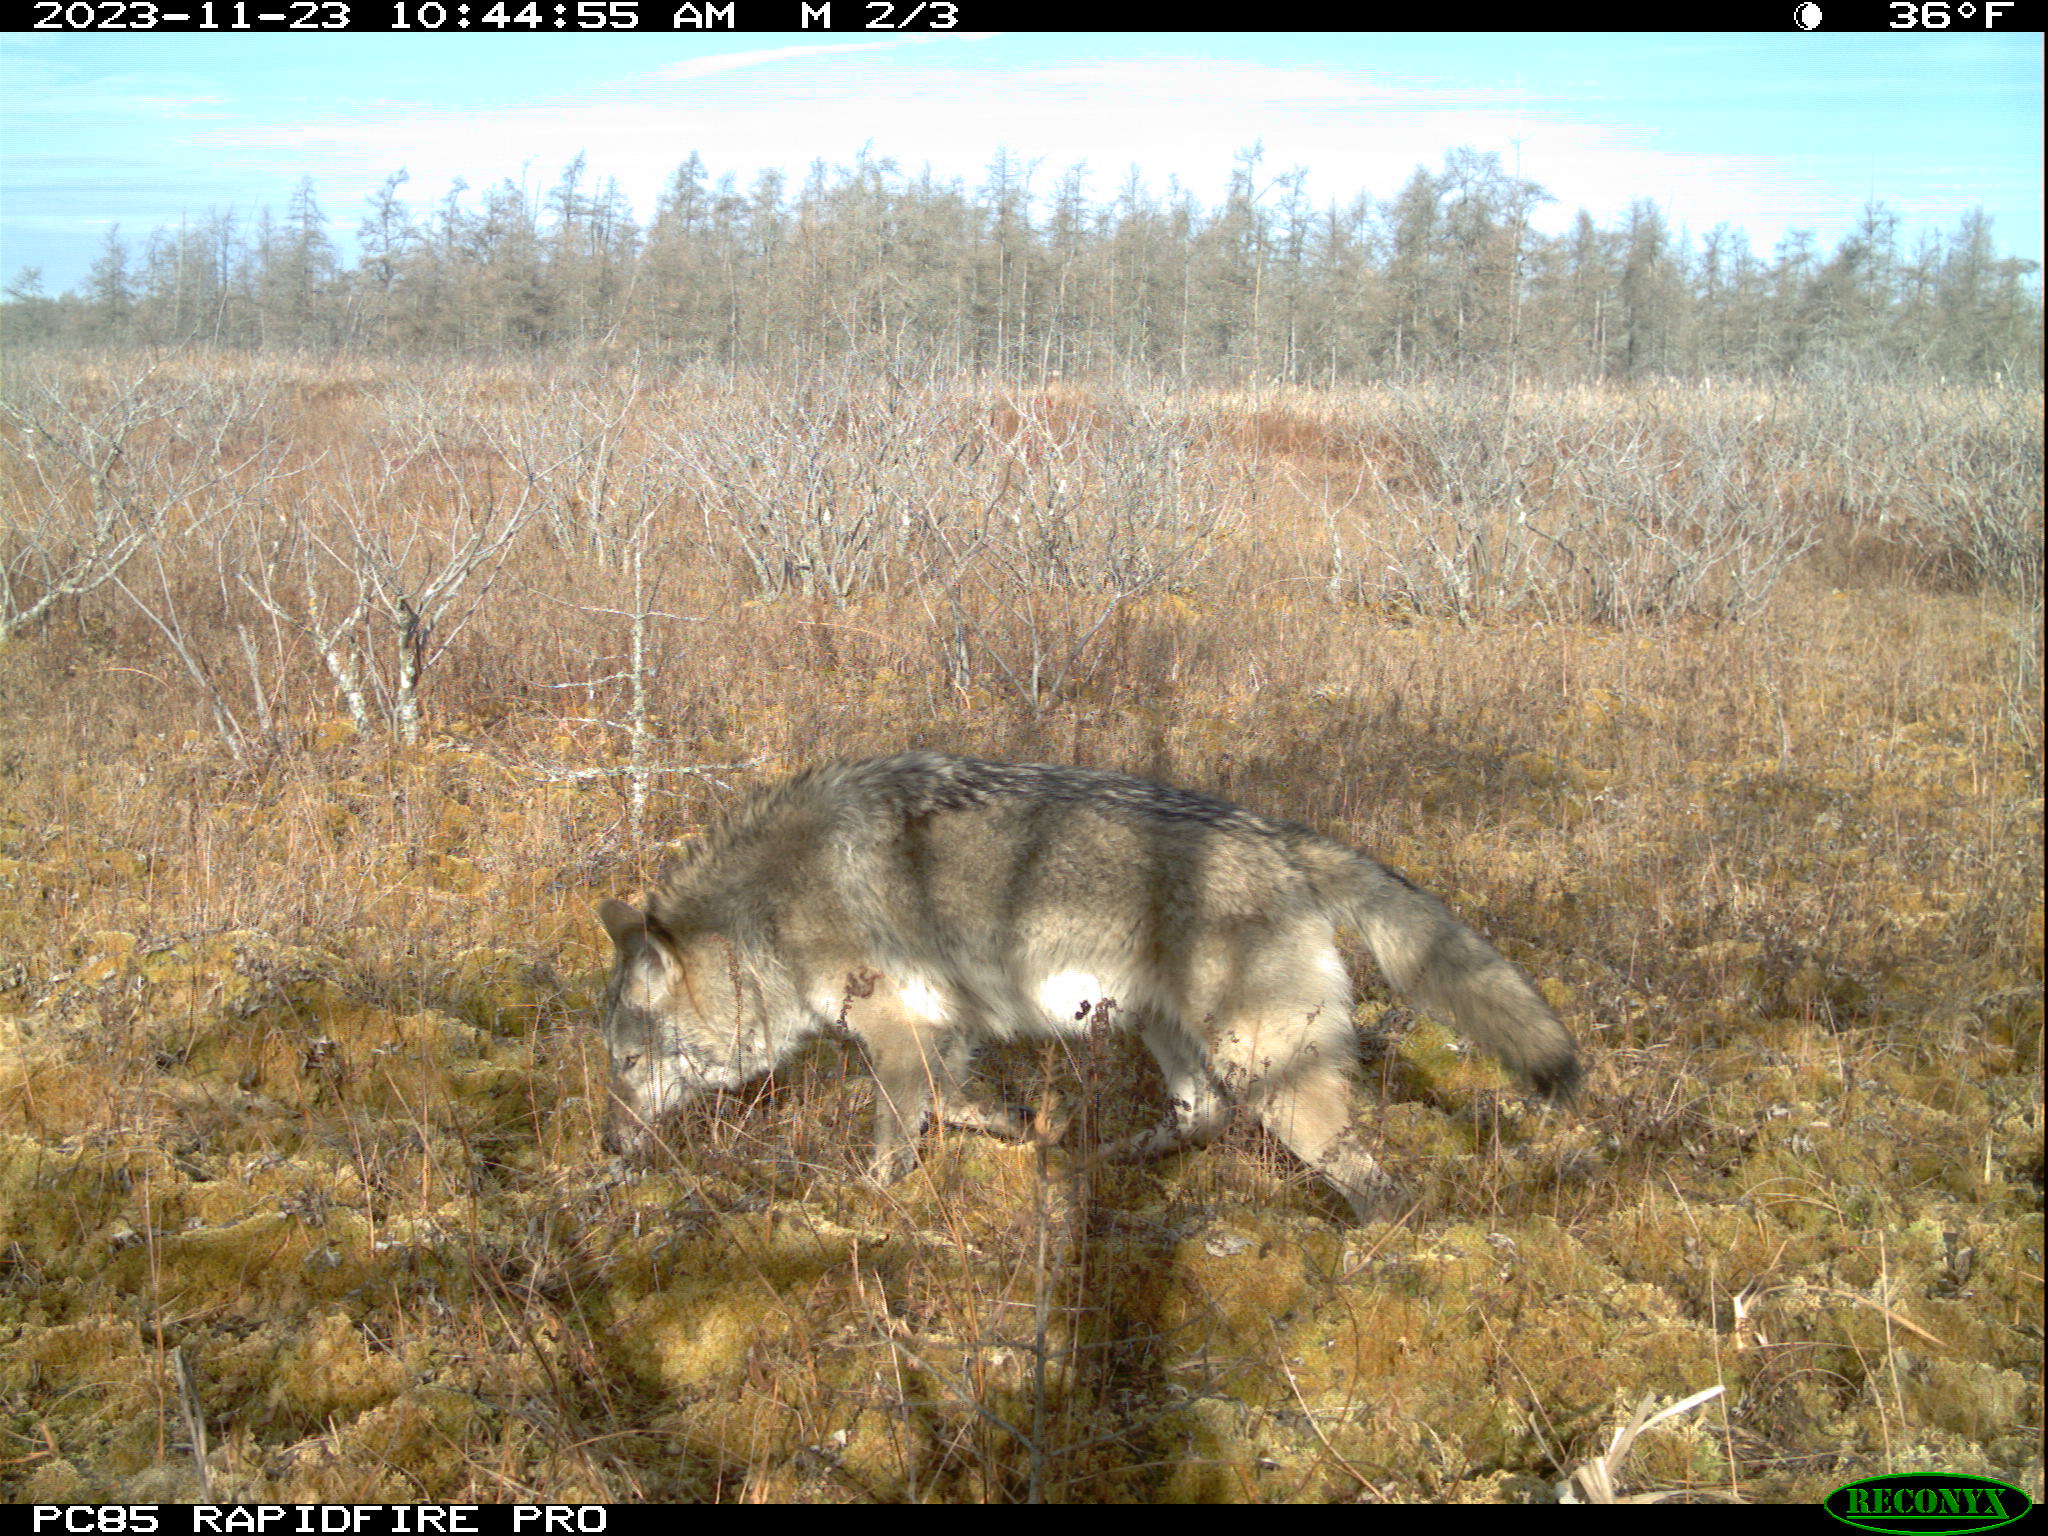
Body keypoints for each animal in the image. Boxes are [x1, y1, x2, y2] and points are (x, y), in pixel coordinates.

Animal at [593, 753, 1581, 1220]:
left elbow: (893, 1139)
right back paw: (1102, 1162)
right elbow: (960, 1103)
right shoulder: (941, 1030)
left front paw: (862, 1207)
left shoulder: (896, 1036)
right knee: (1199, 1114)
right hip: (1166, 1033)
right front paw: (1021, 1129)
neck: (767, 912)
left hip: (1269, 1068)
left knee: (1376, 1183)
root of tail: (1283, 839)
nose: (606, 1144)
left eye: (629, 1063)